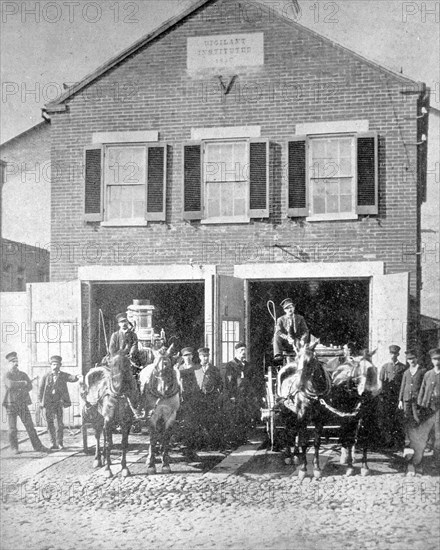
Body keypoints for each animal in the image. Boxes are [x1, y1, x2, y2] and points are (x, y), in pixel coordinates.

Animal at [278, 348, 378, 480]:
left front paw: (362, 467)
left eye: (374, 369)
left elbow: (360, 440)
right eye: (361, 369)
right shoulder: (305, 418)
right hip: (287, 414)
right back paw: (289, 456)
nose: (373, 394)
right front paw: (304, 470)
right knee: (288, 433)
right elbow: (305, 442)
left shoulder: (359, 418)